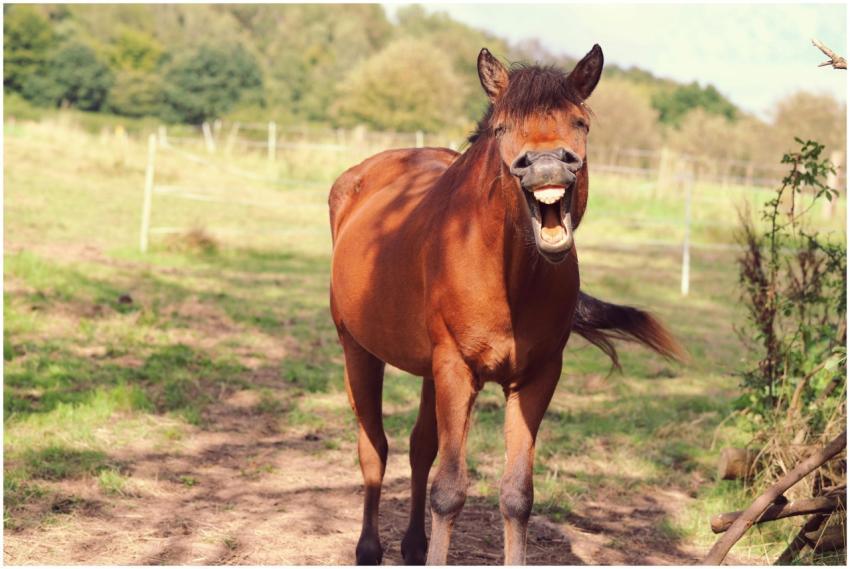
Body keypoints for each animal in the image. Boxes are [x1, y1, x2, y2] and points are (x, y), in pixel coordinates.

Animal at [328, 44, 686, 565]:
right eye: (501, 128)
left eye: (580, 123)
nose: (545, 165)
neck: (509, 277)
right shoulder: (457, 369)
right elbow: (449, 490)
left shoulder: (535, 377)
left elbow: (517, 495)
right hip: (358, 350)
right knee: (373, 447)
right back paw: (369, 547)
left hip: (428, 372)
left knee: (419, 448)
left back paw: (413, 546)